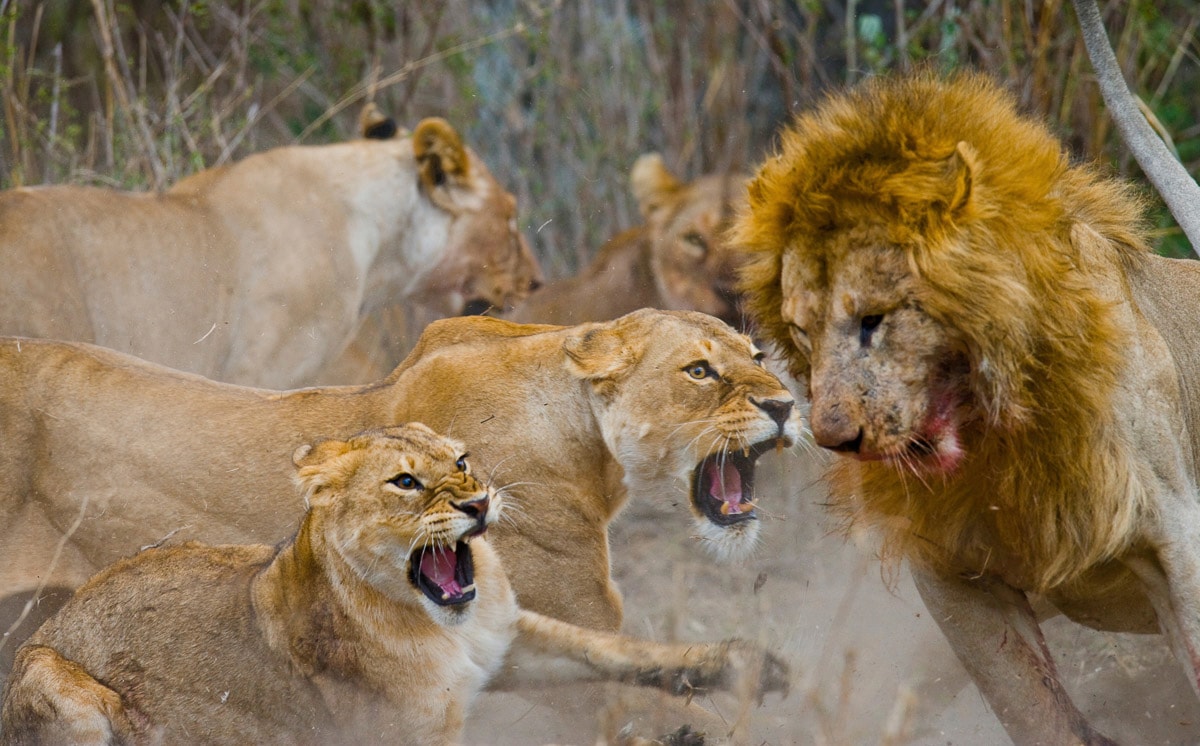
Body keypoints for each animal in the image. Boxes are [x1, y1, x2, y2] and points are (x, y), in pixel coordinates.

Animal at [0, 426, 787, 746]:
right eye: (405, 482)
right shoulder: (402, 735)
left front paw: (744, 665)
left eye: (462, 462)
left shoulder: (506, 639)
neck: (438, 624)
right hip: (54, 682)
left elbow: (610, 649)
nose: (478, 503)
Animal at [734, 68, 1200, 743]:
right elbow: (1036, 712)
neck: (997, 443)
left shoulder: (1177, 535)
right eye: (801, 332)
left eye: (873, 320)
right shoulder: (950, 574)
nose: (834, 438)